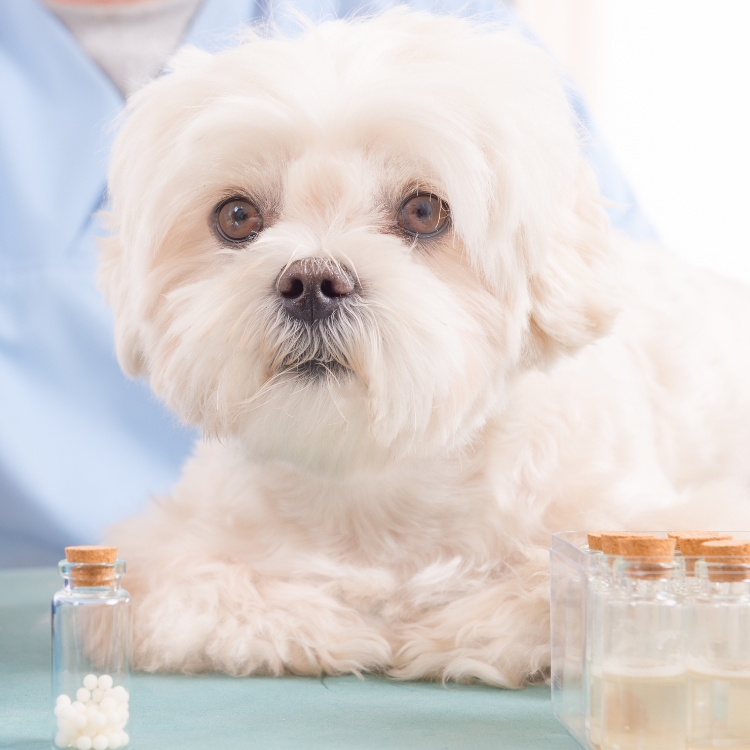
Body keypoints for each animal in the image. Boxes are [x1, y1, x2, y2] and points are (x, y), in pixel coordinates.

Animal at [100, 10, 750, 688]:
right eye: (235, 217)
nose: (311, 283)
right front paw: (321, 621)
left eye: (422, 211)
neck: (382, 479)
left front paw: (448, 627)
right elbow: (201, 587)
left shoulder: (663, 524)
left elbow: (556, 587)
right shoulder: (170, 548)